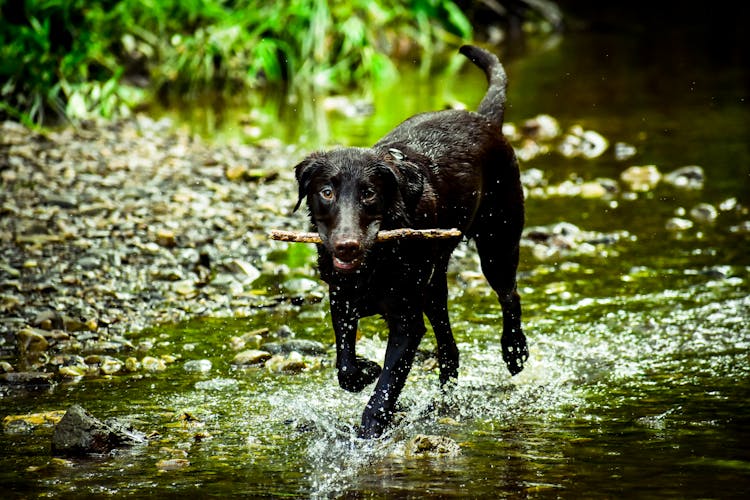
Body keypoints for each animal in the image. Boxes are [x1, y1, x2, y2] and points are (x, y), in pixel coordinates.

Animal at [294, 46, 528, 438]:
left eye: (369, 193)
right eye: (326, 192)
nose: (346, 246)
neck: (376, 262)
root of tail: (484, 119)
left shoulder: (406, 321)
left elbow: (389, 382)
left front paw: (373, 424)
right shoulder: (341, 301)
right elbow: (345, 367)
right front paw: (364, 370)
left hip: (498, 244)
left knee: (510, 296)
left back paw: (514, 351)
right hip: (434, 286)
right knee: (449, 348)